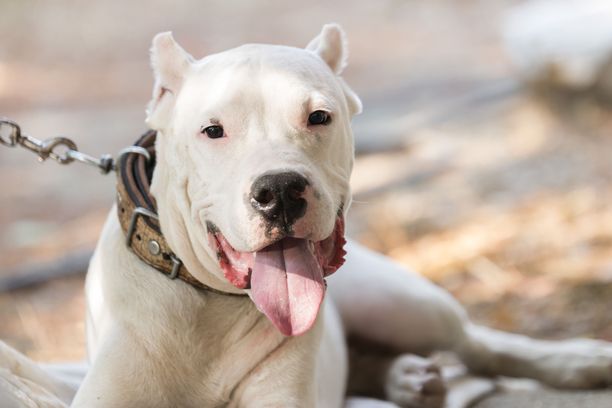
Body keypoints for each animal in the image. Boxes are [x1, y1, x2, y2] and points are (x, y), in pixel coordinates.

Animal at [1, 23, 612, 408]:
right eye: (212, 130)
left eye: (319, 116)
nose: (278, 190)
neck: (208, 306)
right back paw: (407, 377)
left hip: (399, 300)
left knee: (480, 344)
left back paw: (579, 361)